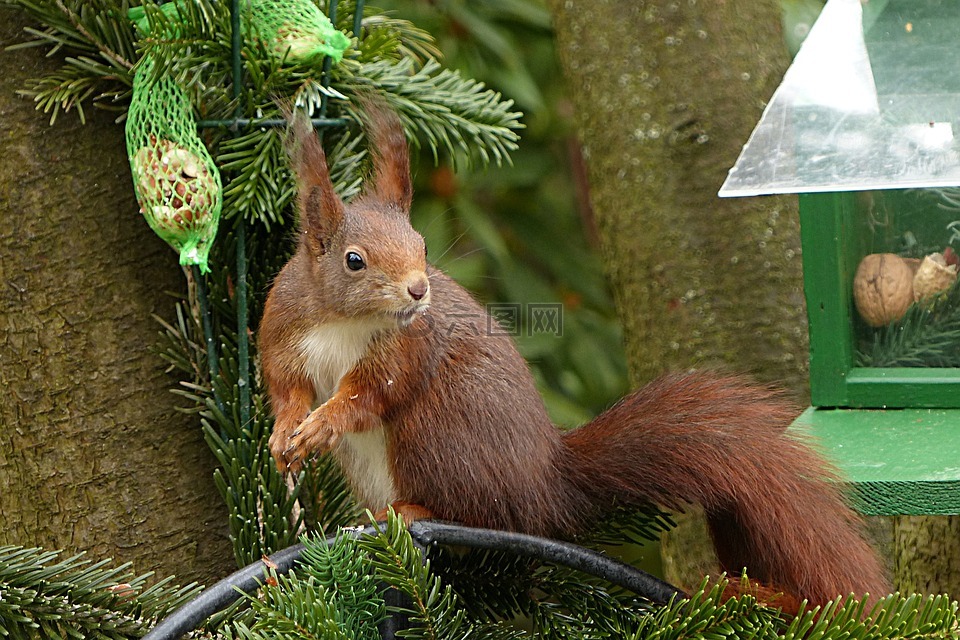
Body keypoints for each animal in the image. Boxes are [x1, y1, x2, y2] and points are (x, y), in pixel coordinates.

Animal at [258, 107, 888, 608]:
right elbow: (286, 388)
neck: (346, 321)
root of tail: (545, 484)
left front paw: (322, 424)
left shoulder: (406, 350)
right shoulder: (284, 334)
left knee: (480, 514)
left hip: (436, 436)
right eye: (354, 260)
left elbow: (367, 395)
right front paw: (286, 433)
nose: (418, 291)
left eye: (423, 245)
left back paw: (415, 513)